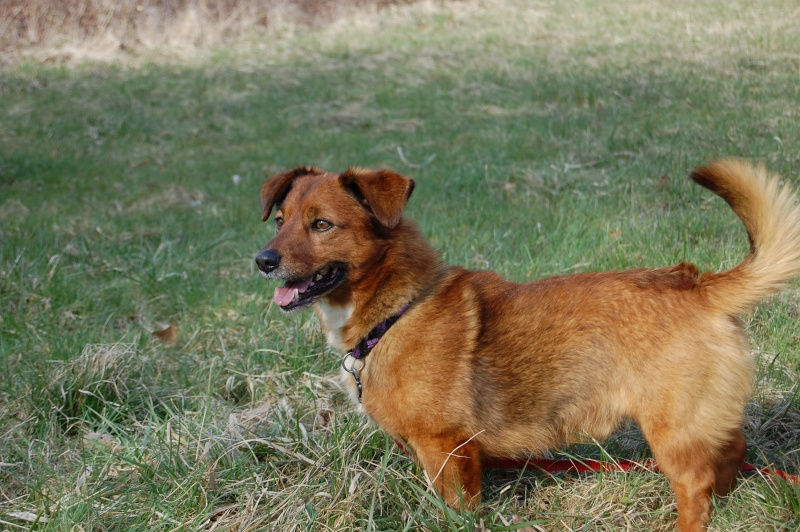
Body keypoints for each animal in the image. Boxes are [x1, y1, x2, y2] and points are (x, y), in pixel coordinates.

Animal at [255, 160, 800, 528]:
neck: (398, 311)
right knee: (731, 452)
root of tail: (698, 284)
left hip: (672, 435)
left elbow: (455, 509)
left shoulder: (446, 448)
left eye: (322, 224)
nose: (263, 260)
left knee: (696, 488)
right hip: (699, 421)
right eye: (280, 220)